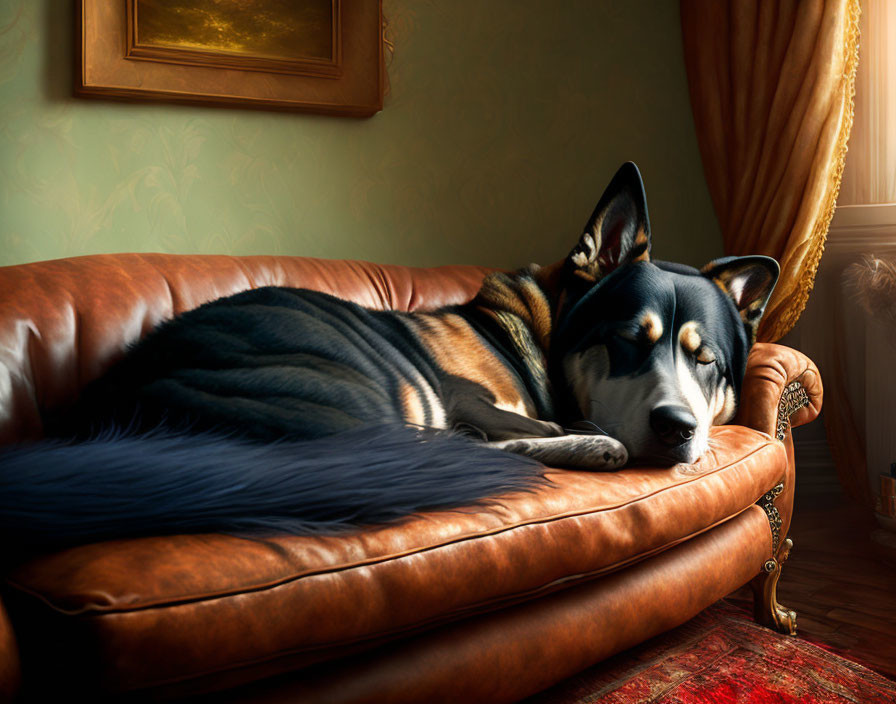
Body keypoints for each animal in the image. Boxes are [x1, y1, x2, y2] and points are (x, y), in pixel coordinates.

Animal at [0, 164, 776, 552]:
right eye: (627, 342)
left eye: (707, 362)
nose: (678, 429)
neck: (538, 336)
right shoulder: (461, 395)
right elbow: (526, 428)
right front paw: (586, 439)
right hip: (353, 388)